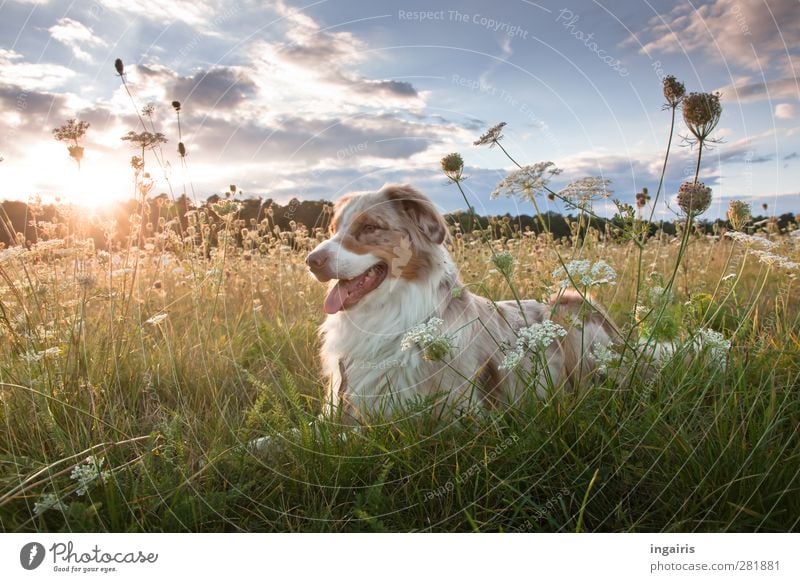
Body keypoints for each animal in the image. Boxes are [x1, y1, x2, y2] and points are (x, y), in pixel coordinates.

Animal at [306, 184, 620, 424]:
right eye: (333, 229)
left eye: (370, 226)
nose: (311, 261)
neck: (385, 315)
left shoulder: (444, 416)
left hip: (568, 309)